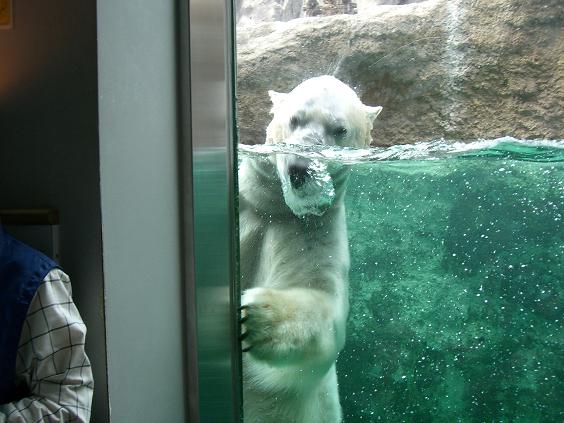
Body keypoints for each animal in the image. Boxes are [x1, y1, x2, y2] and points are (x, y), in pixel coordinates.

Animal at [239, 76, 384, 423]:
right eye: (294, 119)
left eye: (339, 130)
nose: (299, 168)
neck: (271, 207)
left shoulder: (311, 228)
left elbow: (323, 305)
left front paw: (259, 317)